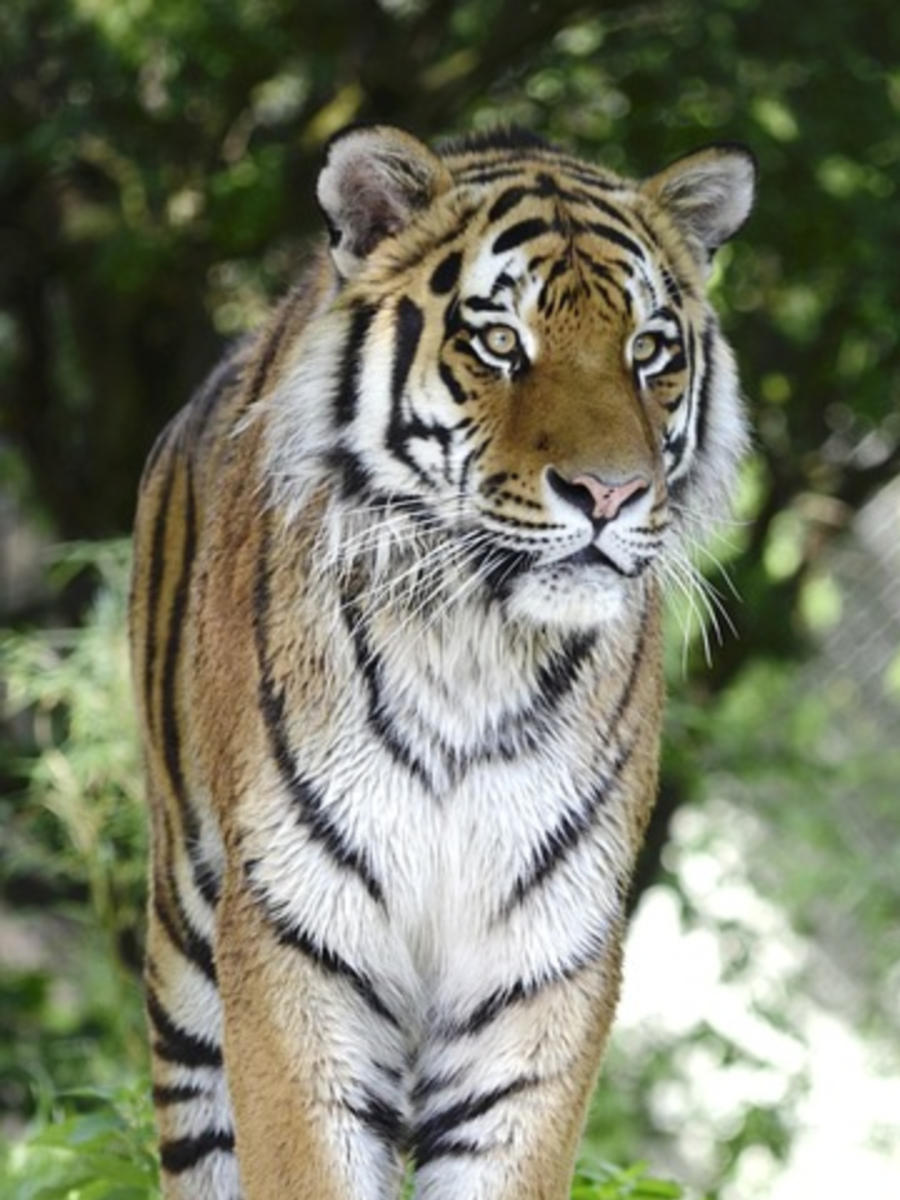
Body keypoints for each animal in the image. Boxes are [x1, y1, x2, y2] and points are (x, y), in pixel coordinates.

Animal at [129, 123, 755, 1200]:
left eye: (647, 351)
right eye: (500, 342)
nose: (610, 494)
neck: (473, 644)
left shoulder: (542, 961)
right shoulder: (300, 935)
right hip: (186, 928)